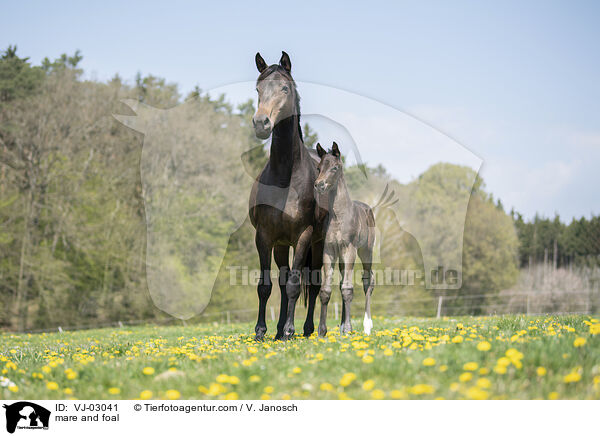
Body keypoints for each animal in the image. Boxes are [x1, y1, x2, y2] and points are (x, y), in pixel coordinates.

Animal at [247, 52, 326, 340]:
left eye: (284, 88)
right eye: (258, 89)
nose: (261, 123)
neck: (285, 177)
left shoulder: (303, 236)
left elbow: (294, 284)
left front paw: (291, 329)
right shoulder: (264, 236)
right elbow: (266, 286)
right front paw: (261, 331)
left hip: (318, 243)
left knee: (313, 285)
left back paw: (307, 329)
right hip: (281, 245)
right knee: (281, 283)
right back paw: (279, 330)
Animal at [314, 141, 376, 336]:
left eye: (334, 167)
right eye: (319, 167)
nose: (319, 185)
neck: (338, 217)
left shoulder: (350, 249)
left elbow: (348, 289)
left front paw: (348, 328)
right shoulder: (328, 251)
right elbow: (326, 290)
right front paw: (322, 331)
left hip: (366, 251)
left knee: (368, 280)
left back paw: (367, 326)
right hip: (341, 256)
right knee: (343, 280)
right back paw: (341, 326)